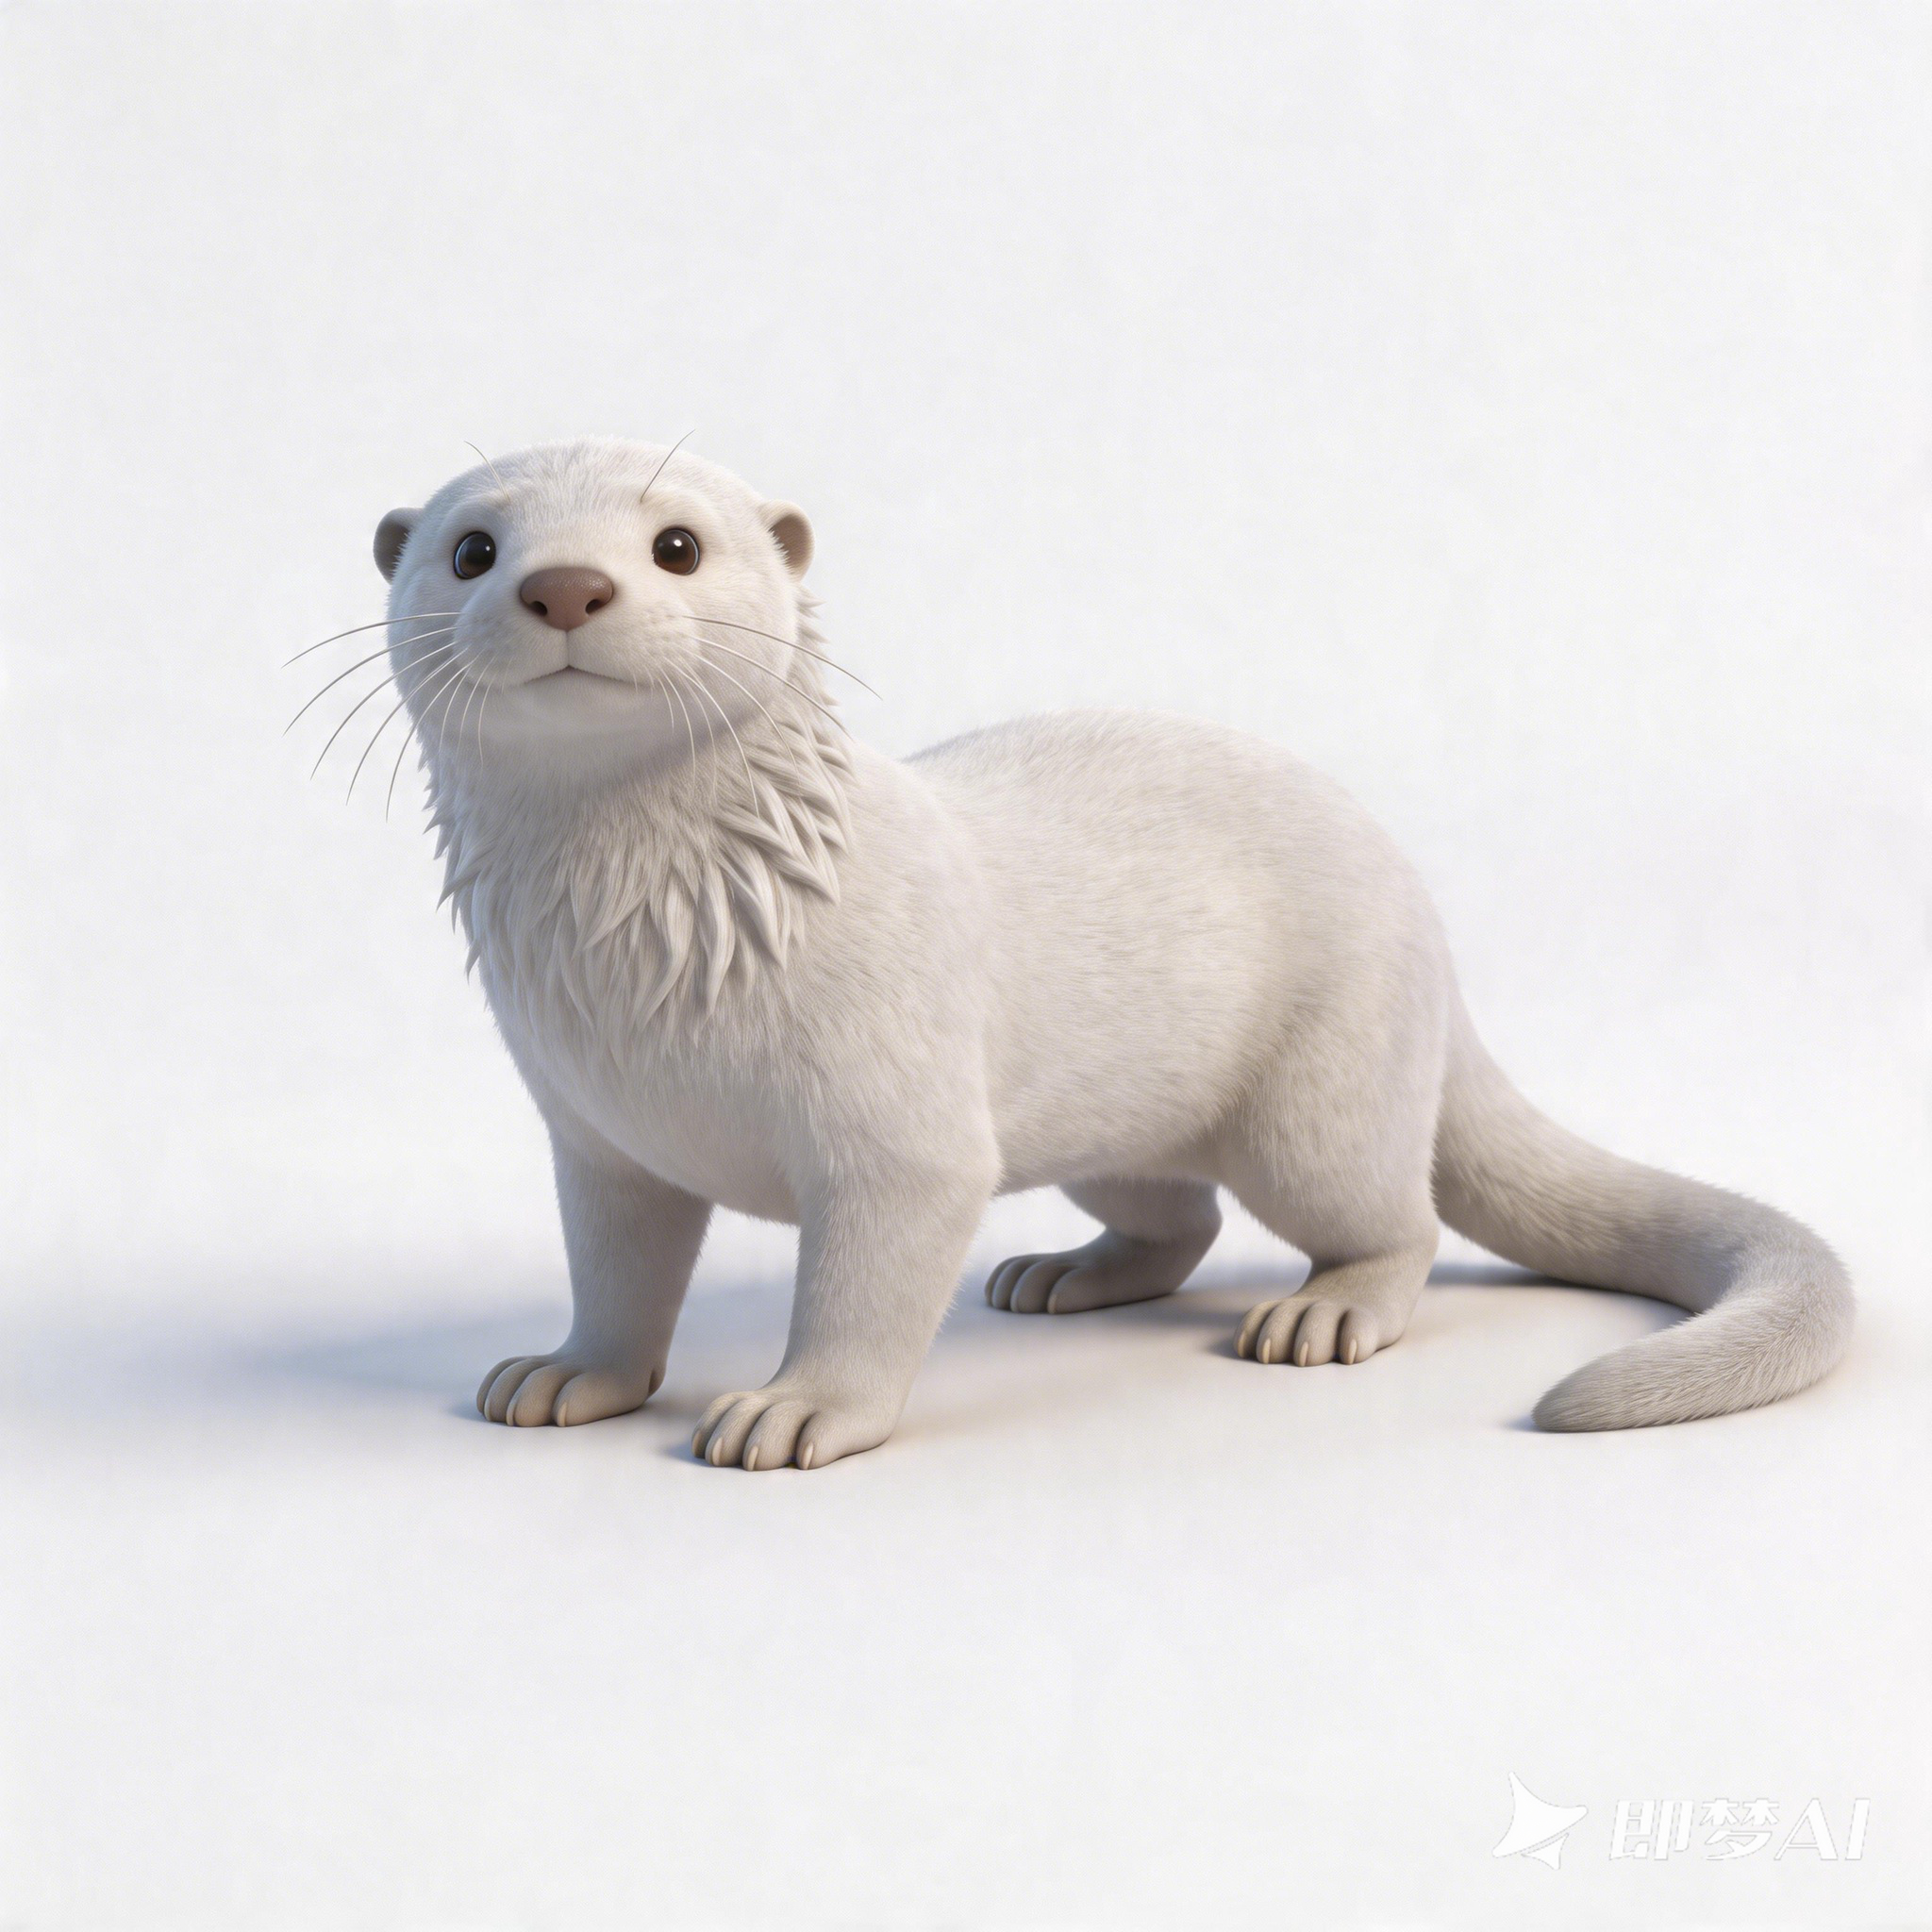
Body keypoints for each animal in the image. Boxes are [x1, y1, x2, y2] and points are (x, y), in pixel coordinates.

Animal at [345, 438, 1850, 1469]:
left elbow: (872, 1271)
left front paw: (795, 1408)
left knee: (1390, 1215)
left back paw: (1323, 1315)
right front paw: (565, 1374)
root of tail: (1423, 913)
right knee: (1176, 1214)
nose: (566, 586)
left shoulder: (899, 1117)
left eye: (675, 545)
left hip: (1327, 1075)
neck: (668, 963)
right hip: (1117, 1123)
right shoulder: (595, 1135)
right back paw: (1061, 1276)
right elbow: (617, 1270)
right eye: (471, 549)